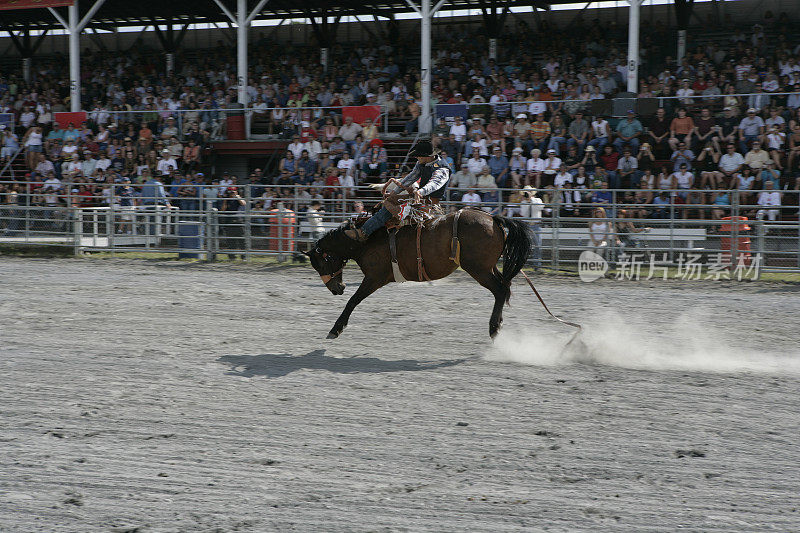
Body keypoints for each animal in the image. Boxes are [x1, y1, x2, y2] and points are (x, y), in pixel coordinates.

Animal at [306, 209, 532, 338]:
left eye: (321, 264)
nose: (337, 289)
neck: (365, 240)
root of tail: (492, 219)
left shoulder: (374, 278)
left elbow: (353, 300)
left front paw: (336, 329)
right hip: (488, 267)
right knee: (505, 288)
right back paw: (498, 324)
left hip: (478, 269)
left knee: (500, 290)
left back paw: (494, 328)